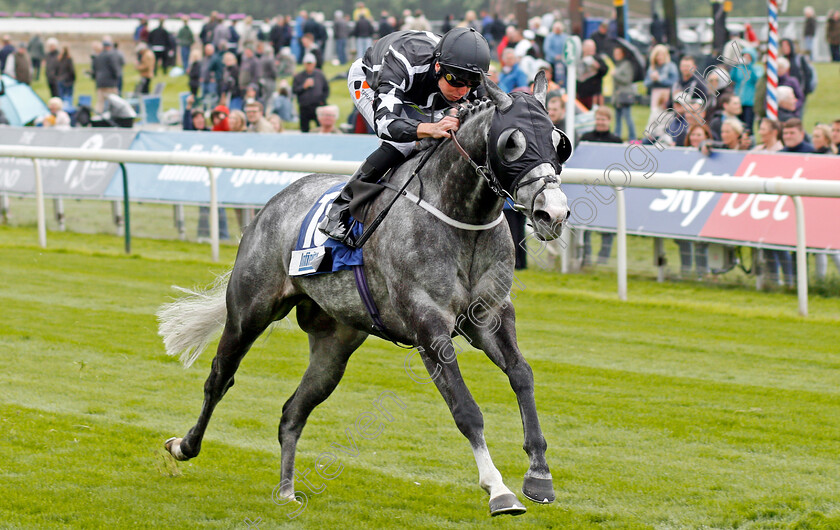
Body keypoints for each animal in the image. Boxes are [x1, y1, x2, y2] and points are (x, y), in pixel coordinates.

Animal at [159, 72, 572, 512]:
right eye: (512, 143)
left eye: (559, 141)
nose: (553, 213)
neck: (461, 217)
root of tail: (274, 203)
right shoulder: (428, 326)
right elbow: (466, 409)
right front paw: (498, 489)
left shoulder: (490, 316)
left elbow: (522, 375)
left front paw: (539, 475)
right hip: (249, 310)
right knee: (220, 377)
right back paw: (183, 446)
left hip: (335, 344)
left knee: (293, 411)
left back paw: (287, 489)